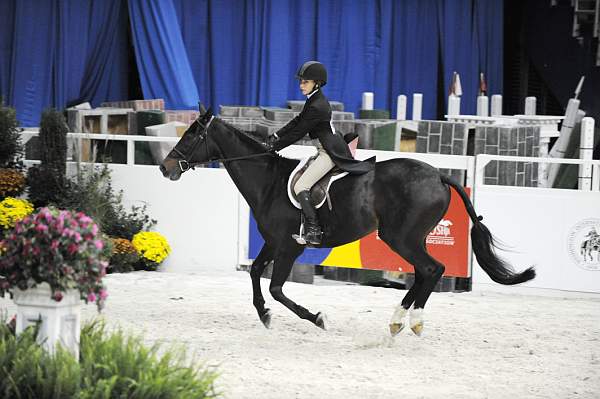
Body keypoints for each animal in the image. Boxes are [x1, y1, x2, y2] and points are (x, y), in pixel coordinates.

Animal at [159, 108, 536, 336]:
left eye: (191, 136)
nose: (165, 167)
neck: (269, 182)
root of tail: (439, 175)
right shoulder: (273, 242)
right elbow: (254, 274)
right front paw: (264, 314)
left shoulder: (289, 248)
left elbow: (277, 289)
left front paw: (316, 318)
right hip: (408, 238)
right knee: (423, 272)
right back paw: (398, 321)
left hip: (401, 237)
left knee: (432, 269)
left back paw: (411, 321)